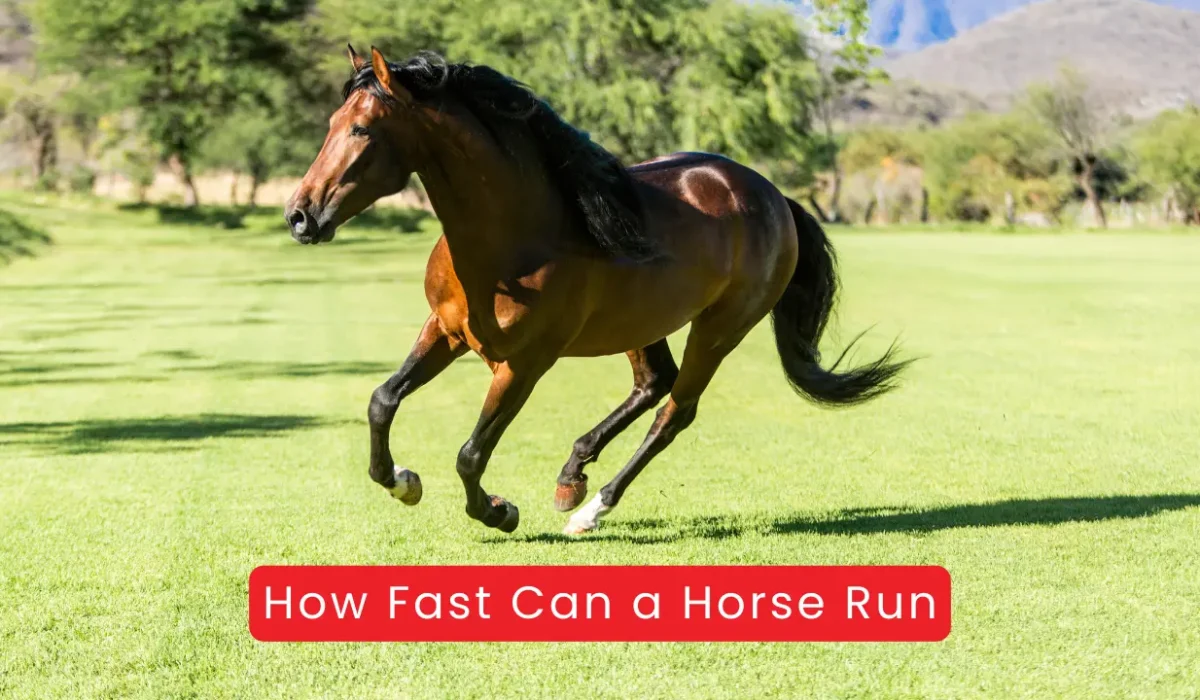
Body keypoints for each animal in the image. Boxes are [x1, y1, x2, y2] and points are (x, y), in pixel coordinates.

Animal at [284, 46, 909, 535]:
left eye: (362, 129)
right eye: (332, 123)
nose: (299, 216)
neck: (515, 237)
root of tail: (773, 196)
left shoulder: (524, 364)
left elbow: (470, 454)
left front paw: (499, 512)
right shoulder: (445, 330)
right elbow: (382, 400)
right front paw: (402, 481)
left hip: (719, 330)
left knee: (674, 413)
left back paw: (592, 509)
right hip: (644, 323)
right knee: (653, 384)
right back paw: (571, 478)